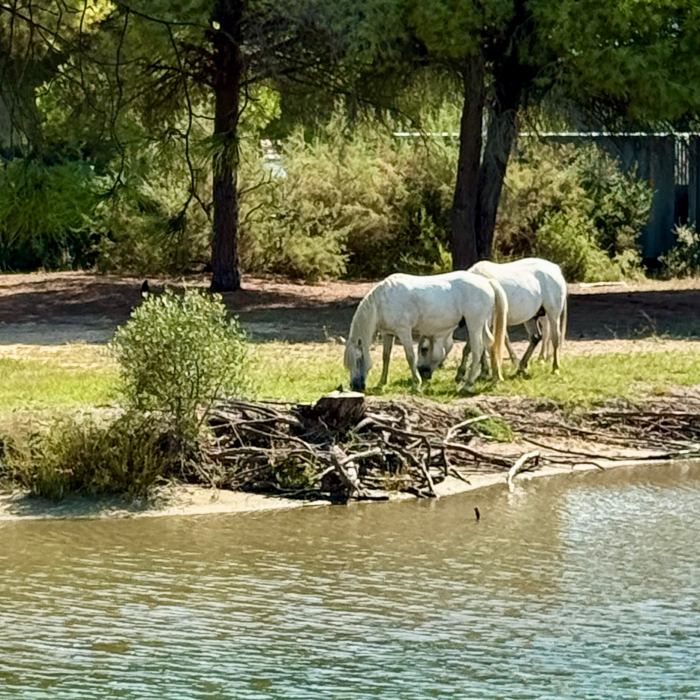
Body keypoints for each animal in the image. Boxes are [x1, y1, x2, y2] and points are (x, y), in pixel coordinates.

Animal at [343, 271, 508, 393]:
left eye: (358, 359)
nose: (355, 387)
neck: (382, 301)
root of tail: (487, 282)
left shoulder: (404, 331)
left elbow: (410, 357)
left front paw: (417, 384)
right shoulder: (388, 334)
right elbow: (386, 357)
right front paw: (381, 383)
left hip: (474, 325)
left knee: (477, 350)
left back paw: (467, 384)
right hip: (483, 325)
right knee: (490, 344)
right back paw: (495, 379)